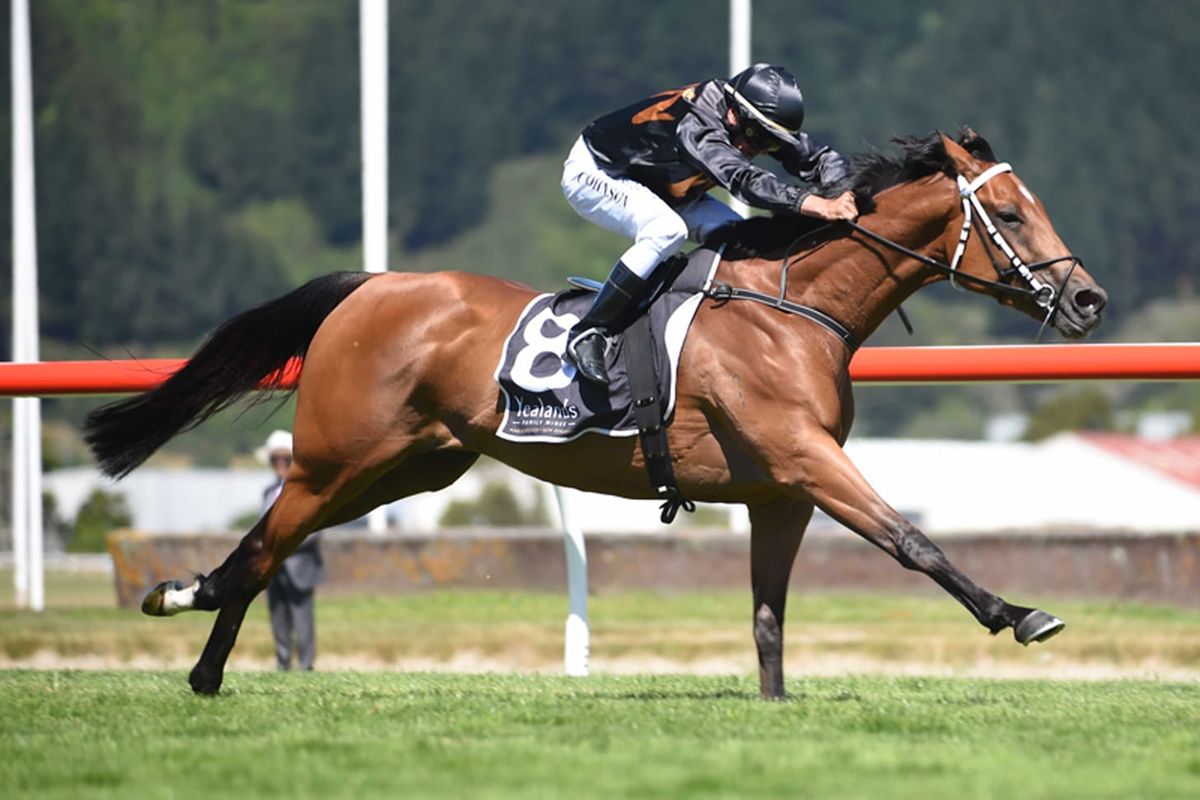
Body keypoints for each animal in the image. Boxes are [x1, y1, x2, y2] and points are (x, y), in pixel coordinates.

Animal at [85, 129, 1108, 699]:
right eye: (1015, 215)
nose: (1089, 301)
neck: (792, 307)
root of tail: (372, 286)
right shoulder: (806, 458)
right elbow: (911, 540)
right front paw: (1019, 614)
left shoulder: (781, 492)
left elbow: (769, 614)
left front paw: (776, 709)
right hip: (339, 456)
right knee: (269, 544)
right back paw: (200, 650)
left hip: (407, 466)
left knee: (277, 545)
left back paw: (189, 614)